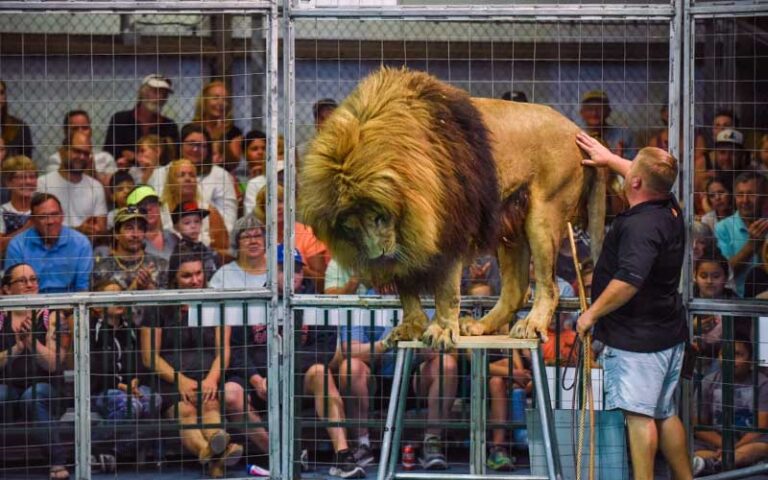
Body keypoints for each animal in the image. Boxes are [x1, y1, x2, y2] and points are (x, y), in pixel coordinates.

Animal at [296, 66, 604, 348]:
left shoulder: (449, 225)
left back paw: (532, 325)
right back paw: (480, 326)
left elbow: (446, 289)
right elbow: (406, 287)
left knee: (548, 286)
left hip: (545, 214)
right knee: (516, 288)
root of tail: (577, 130)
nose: (377, 255)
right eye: (350, 227)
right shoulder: (408, 242)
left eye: (379, 217)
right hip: (510, 223)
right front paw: (411, 327)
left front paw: (442, 329)